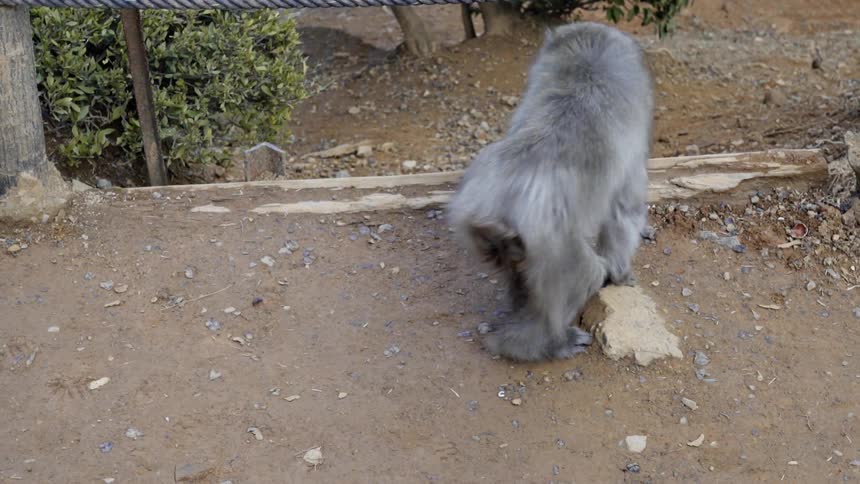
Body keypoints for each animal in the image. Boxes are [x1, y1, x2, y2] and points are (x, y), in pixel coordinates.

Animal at [446, 21, 654, 363]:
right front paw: (622, 275)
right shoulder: (632, 159)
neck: (585, 72)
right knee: (585, 272)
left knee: (518, 276)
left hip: (501, 239)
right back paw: (542, 344)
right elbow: (623, 215)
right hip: (556, 249)